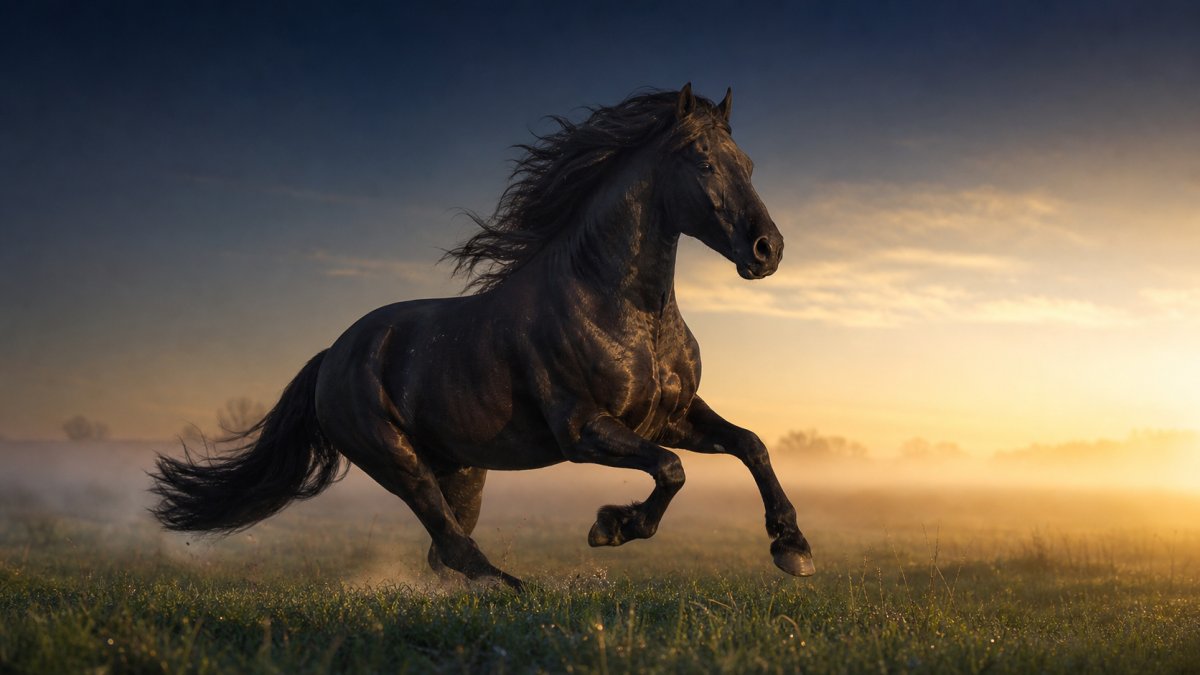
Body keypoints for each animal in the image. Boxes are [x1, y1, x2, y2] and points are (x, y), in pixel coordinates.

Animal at [150, 84, 815, 590]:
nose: (768, 249)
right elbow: (672, 470)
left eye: (748, 164)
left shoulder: (670, 416)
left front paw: (793, 547)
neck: (625, 311)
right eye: (703, 161)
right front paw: (612, 526)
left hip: (463, 469)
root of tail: (332, 356)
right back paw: (515, 589)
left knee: (445, 547)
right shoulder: (584, 430)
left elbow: (750, 445)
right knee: (450, 542)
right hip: (398, 462)